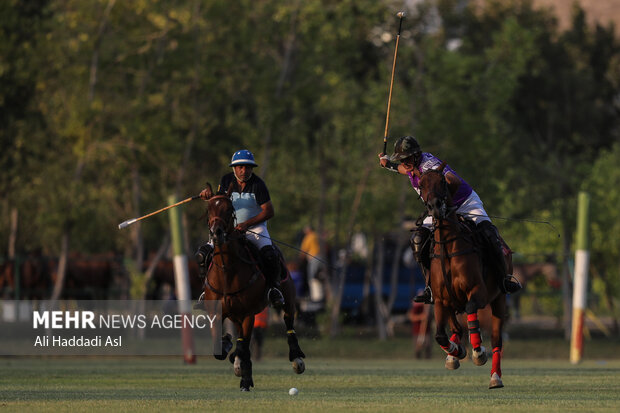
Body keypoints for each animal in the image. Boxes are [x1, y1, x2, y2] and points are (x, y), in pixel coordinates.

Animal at [201, 185, 306, 392]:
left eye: (229, 209)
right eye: (209, 209)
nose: (216, 233)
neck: (225, 270)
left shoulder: (248, 313)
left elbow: (242, 345)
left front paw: (244, 377)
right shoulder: (216, 312)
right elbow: (221, 345)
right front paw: (227, 345)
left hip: (288, 298)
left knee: (288, 322)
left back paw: (296, 359)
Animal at [418, 163, 512, 386]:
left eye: (442, 182)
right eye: (422, 185)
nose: (435, 206)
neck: (448, 247)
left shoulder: (478, 292)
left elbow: (472, 314)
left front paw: (478, 353)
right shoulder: (441, 300)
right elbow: (440, 335)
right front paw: (456, 352)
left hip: (499, 299)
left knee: (497, 339)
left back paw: (495, 376)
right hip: (452, 303)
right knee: (456, 329)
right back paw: (453, 356)